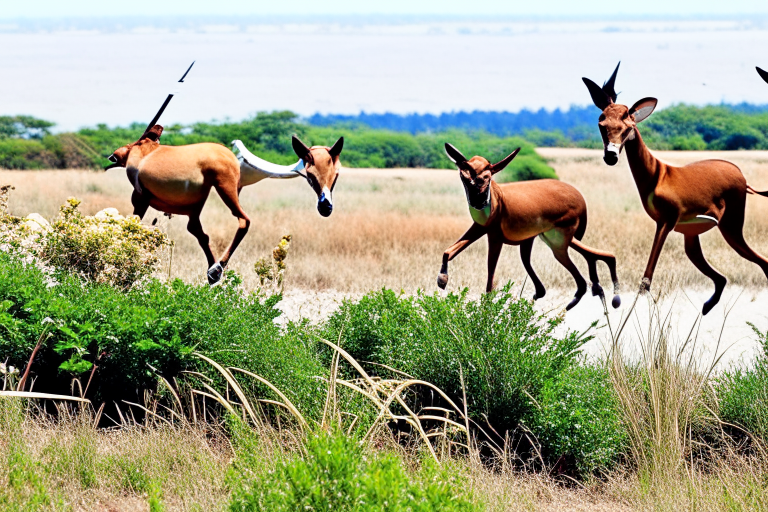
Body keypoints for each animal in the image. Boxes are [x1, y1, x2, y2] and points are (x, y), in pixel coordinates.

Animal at [104, 124, 342, 284]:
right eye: (310, 174)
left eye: (336, 173)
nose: (326, 207)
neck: (243, 163)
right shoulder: (225, 186)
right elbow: (243, 222)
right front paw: (215, 270)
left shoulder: (196, 208)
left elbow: (201, 234)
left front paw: (213, 271)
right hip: (142, 199)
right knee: (131, 225)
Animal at [436, 142, 620, 310]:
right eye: (463, 176)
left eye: (487, 176)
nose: (478, 202)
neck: (496, 197)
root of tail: (581, 201)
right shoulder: (481, 228)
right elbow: (448, 251)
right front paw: (442, 280)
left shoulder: (495, 235)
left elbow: (490, 273)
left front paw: (486, 309)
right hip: (550, 239)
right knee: (596, 261)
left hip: (558, 243)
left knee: (585, 274)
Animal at [584, 62, 768, 314]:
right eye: (602, 124)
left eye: (628, 126)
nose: (611, 156)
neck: (658, 175)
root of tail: (741, 176)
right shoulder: (667, 225)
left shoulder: (666, 222)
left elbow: (646, 279)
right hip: (694, 239)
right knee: (722, 278)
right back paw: (705, 308)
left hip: (731, 227)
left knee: (761, 263)